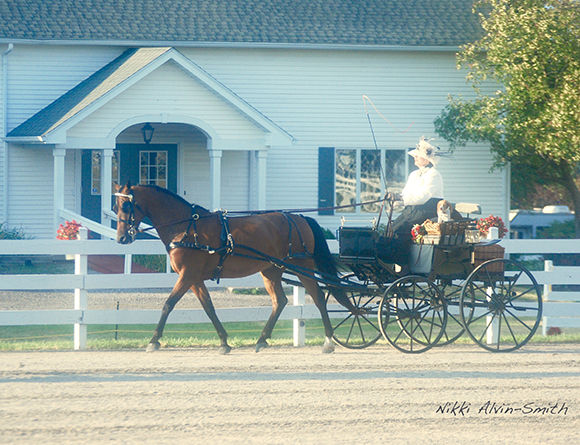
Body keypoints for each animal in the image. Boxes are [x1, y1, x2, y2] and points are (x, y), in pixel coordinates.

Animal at [114, 181, 356, 354]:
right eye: (116, 206)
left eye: (127, 205)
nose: (122, 238)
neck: (186, 227)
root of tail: (298, 217)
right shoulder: (195, 278)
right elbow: (208, 307)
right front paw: (224, 342)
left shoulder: (187, 274)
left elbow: (168, 304)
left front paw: (153, 340)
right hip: (271, 270)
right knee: (280, 301)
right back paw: (262, 339)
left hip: (301, 265)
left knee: (318, 296)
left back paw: (328, 341)